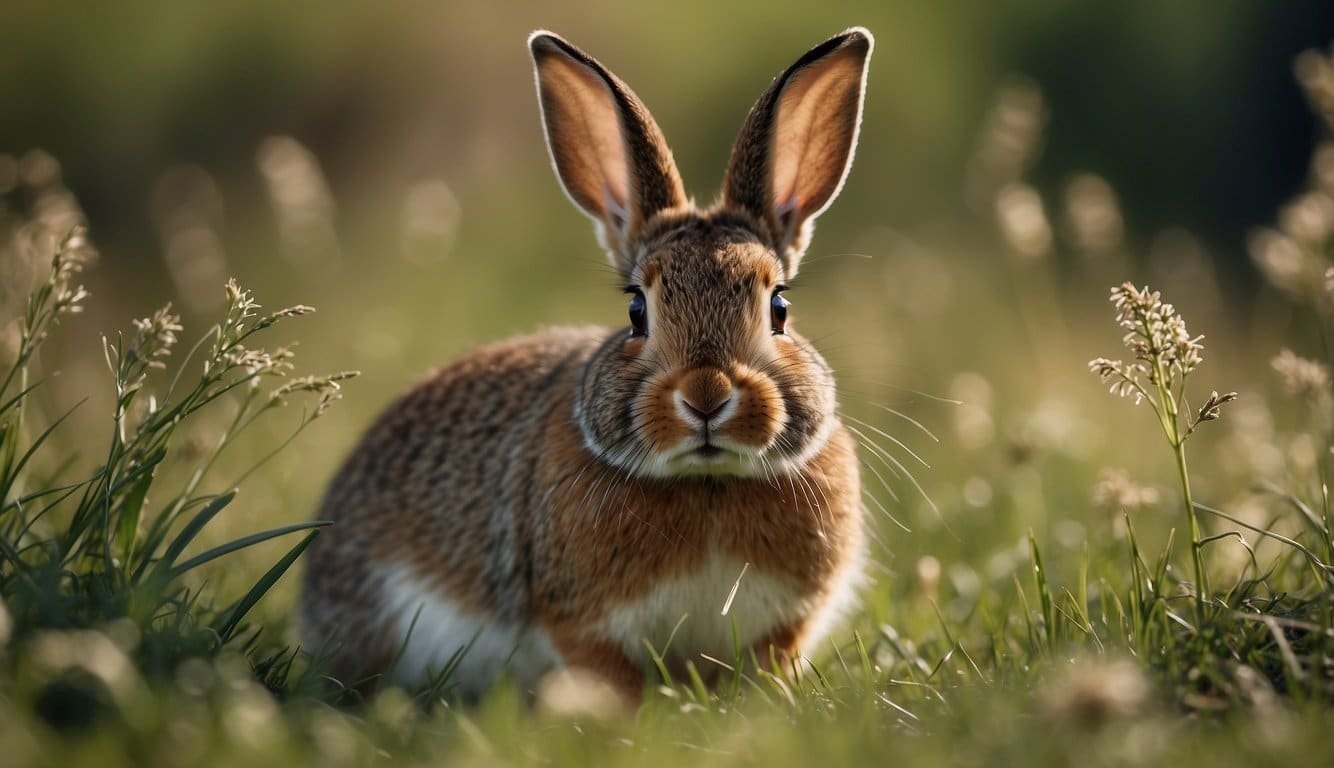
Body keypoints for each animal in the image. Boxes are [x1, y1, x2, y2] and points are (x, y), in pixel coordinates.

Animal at [300, 25, 875, 704]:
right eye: (636, 310)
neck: (707, 482)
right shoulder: (580, 624)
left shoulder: (784, 627)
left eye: (780, 307)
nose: (706, 397)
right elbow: (608, 673)